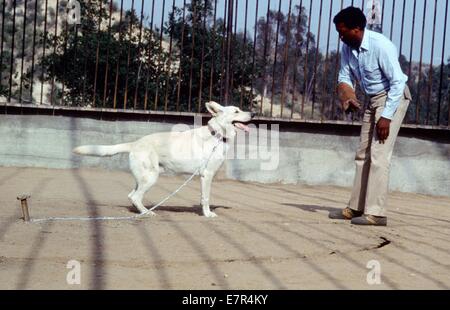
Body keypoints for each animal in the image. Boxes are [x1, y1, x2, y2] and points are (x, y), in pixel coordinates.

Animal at [74, 101, 253, 218]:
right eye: (236, 111)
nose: (253, 114)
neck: (217, 135)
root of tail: (135, 143)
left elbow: (203, 197)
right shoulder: (207, 175)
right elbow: (206, 198)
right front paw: (208, 214)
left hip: (143, 178)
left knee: (132, 196)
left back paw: (140, 212)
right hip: (151, 178)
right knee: (135, 197)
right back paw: (147, 213)